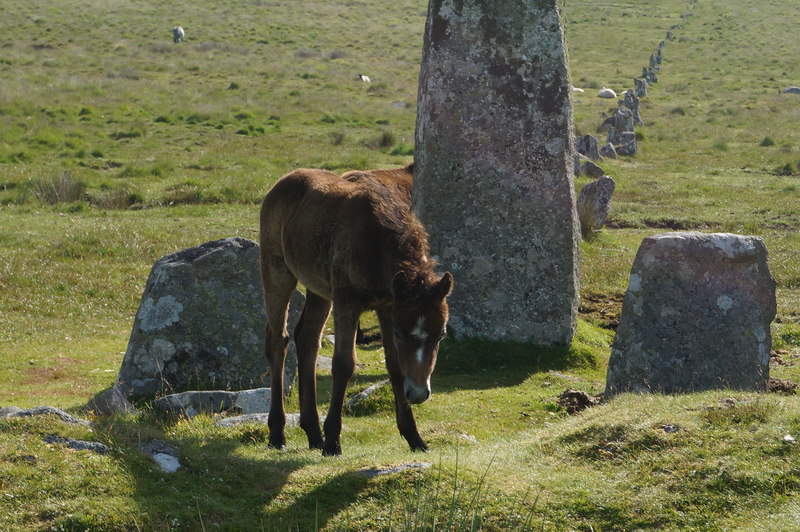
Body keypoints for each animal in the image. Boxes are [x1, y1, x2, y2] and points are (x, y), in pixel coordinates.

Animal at [260, 164, 454, 456]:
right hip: (277, 270)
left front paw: (414, 436)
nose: (419, 394)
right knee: (277, 340)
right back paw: (278, 433)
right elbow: (343, 364)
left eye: (441, 334)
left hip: (319, 289)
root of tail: (284, 180)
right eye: (400, 333)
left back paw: (312, 433)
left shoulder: (388, 305)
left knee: (307, 338)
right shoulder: (347, 301)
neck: (375, 242)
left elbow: (395, 365)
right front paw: (333, 440)